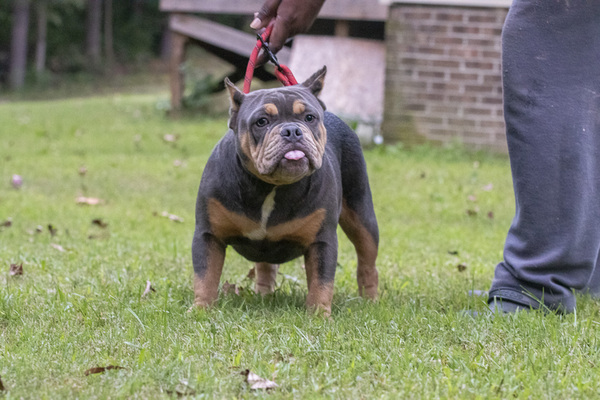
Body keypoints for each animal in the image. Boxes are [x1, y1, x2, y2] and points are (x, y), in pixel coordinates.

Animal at [192, 66, 378, 316]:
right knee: (265, 266)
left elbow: (322, 280)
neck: (272, 186)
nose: (292, 130)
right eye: (261, 122)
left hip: (362, 215)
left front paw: (319, 314)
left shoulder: (322, 241)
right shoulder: (208, 234)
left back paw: (371, 300)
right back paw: (263, 295)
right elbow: (206, 275)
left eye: (309, 118)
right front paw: (201, 309)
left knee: (367, 260)